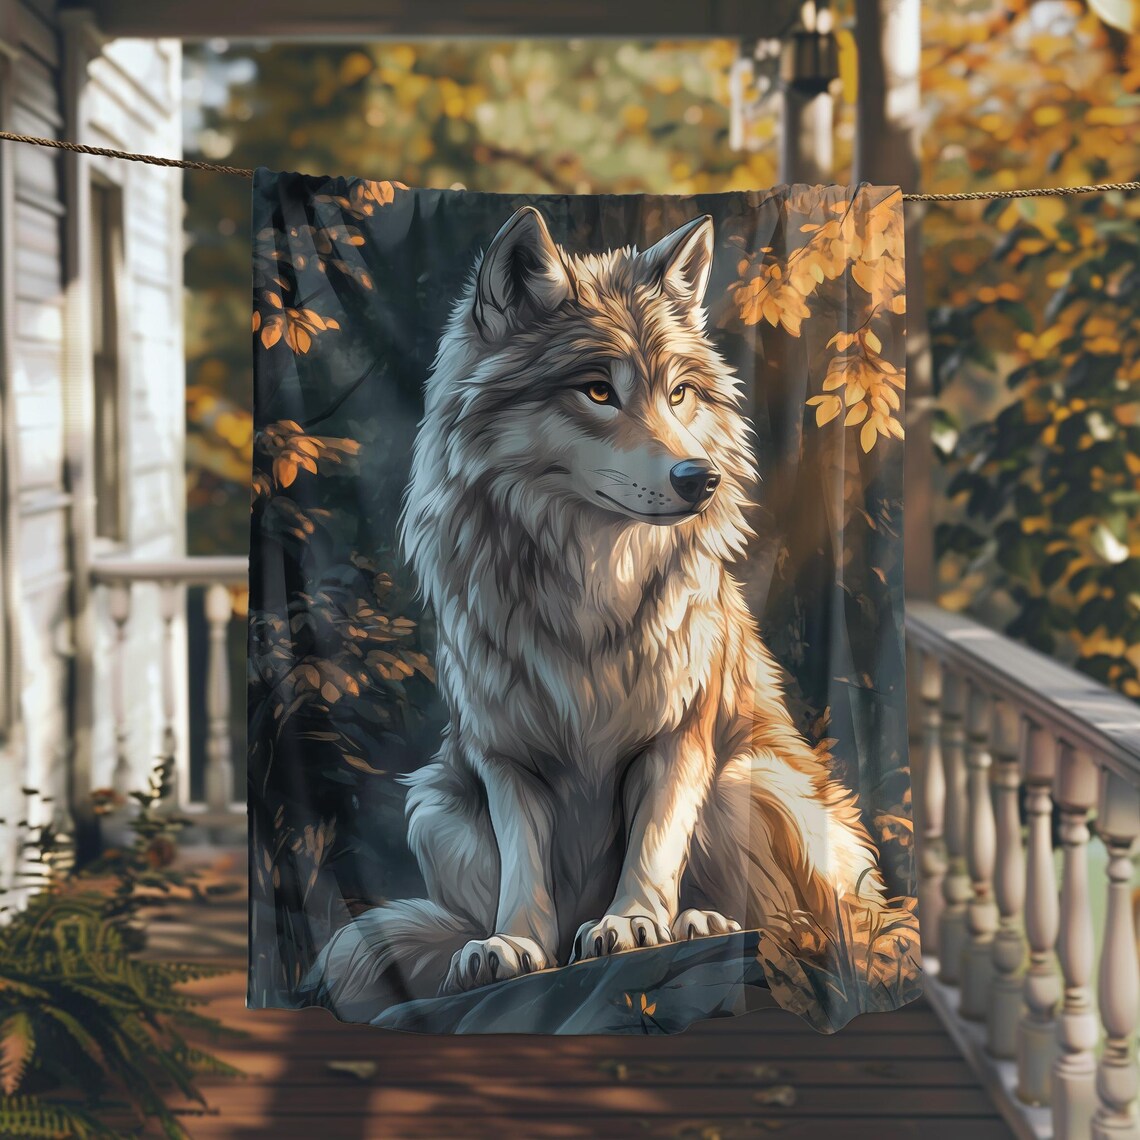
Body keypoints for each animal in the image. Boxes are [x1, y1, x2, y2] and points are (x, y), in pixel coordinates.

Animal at [307, 205, 904, 1017]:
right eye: (597, 391)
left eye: (679, 394)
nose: (700, 478)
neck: (590, 584)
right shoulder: (504, 754)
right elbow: (524, 866)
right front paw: (511, 946)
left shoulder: (679, 735)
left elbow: (654, 840)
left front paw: (632, 924)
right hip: (435, 806)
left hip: (747, 780)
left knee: (799, 922)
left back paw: (704, 922)